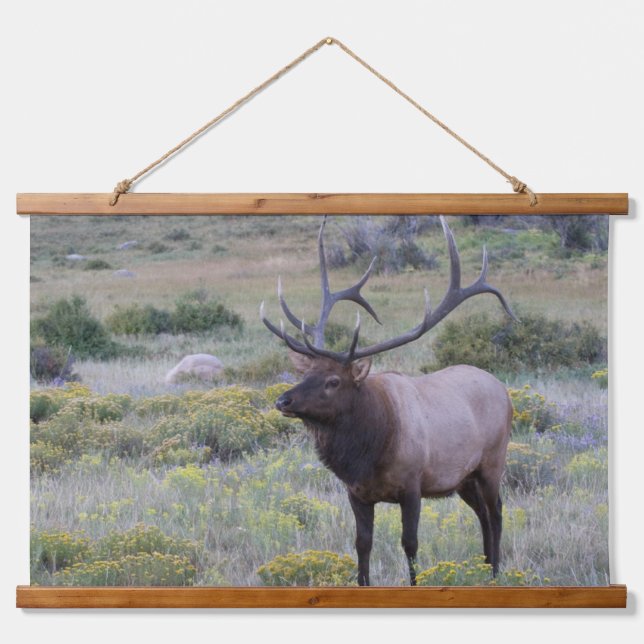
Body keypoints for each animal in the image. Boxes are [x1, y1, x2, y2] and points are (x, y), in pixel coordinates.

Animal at [259, 216, 516, 586]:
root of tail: (504, 391)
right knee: (482, 513)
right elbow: (362, 543)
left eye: (333, 381)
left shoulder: (412, 485)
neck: (369, 451)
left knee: (496, 512)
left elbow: (410, 544)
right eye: (306, 373)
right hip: (463, 478)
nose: (283, 400)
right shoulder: (356, 492)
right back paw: (483, 568)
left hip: (492, 461)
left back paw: (495, 571)